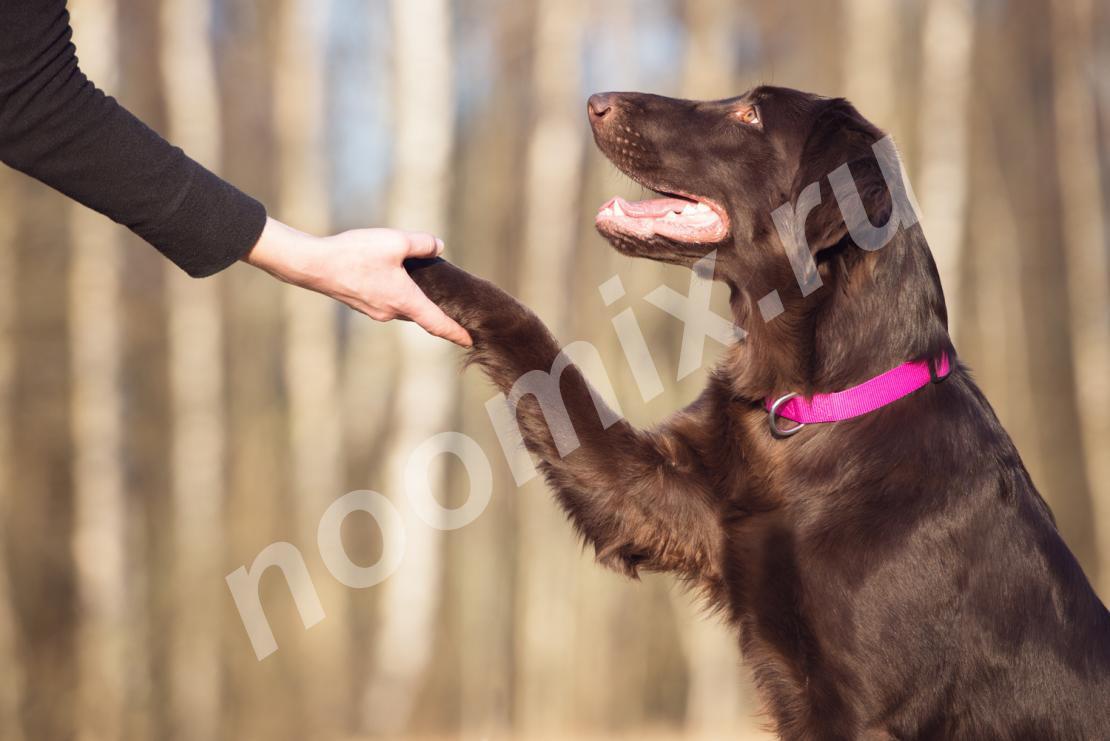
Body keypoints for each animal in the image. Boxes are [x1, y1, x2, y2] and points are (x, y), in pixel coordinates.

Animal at [404, 85, 1105, 736]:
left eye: (751, 116)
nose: (596, 101)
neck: (812, 408)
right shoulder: (656, 497)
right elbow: (536, 347)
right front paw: (417, 263)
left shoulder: (863, 708)